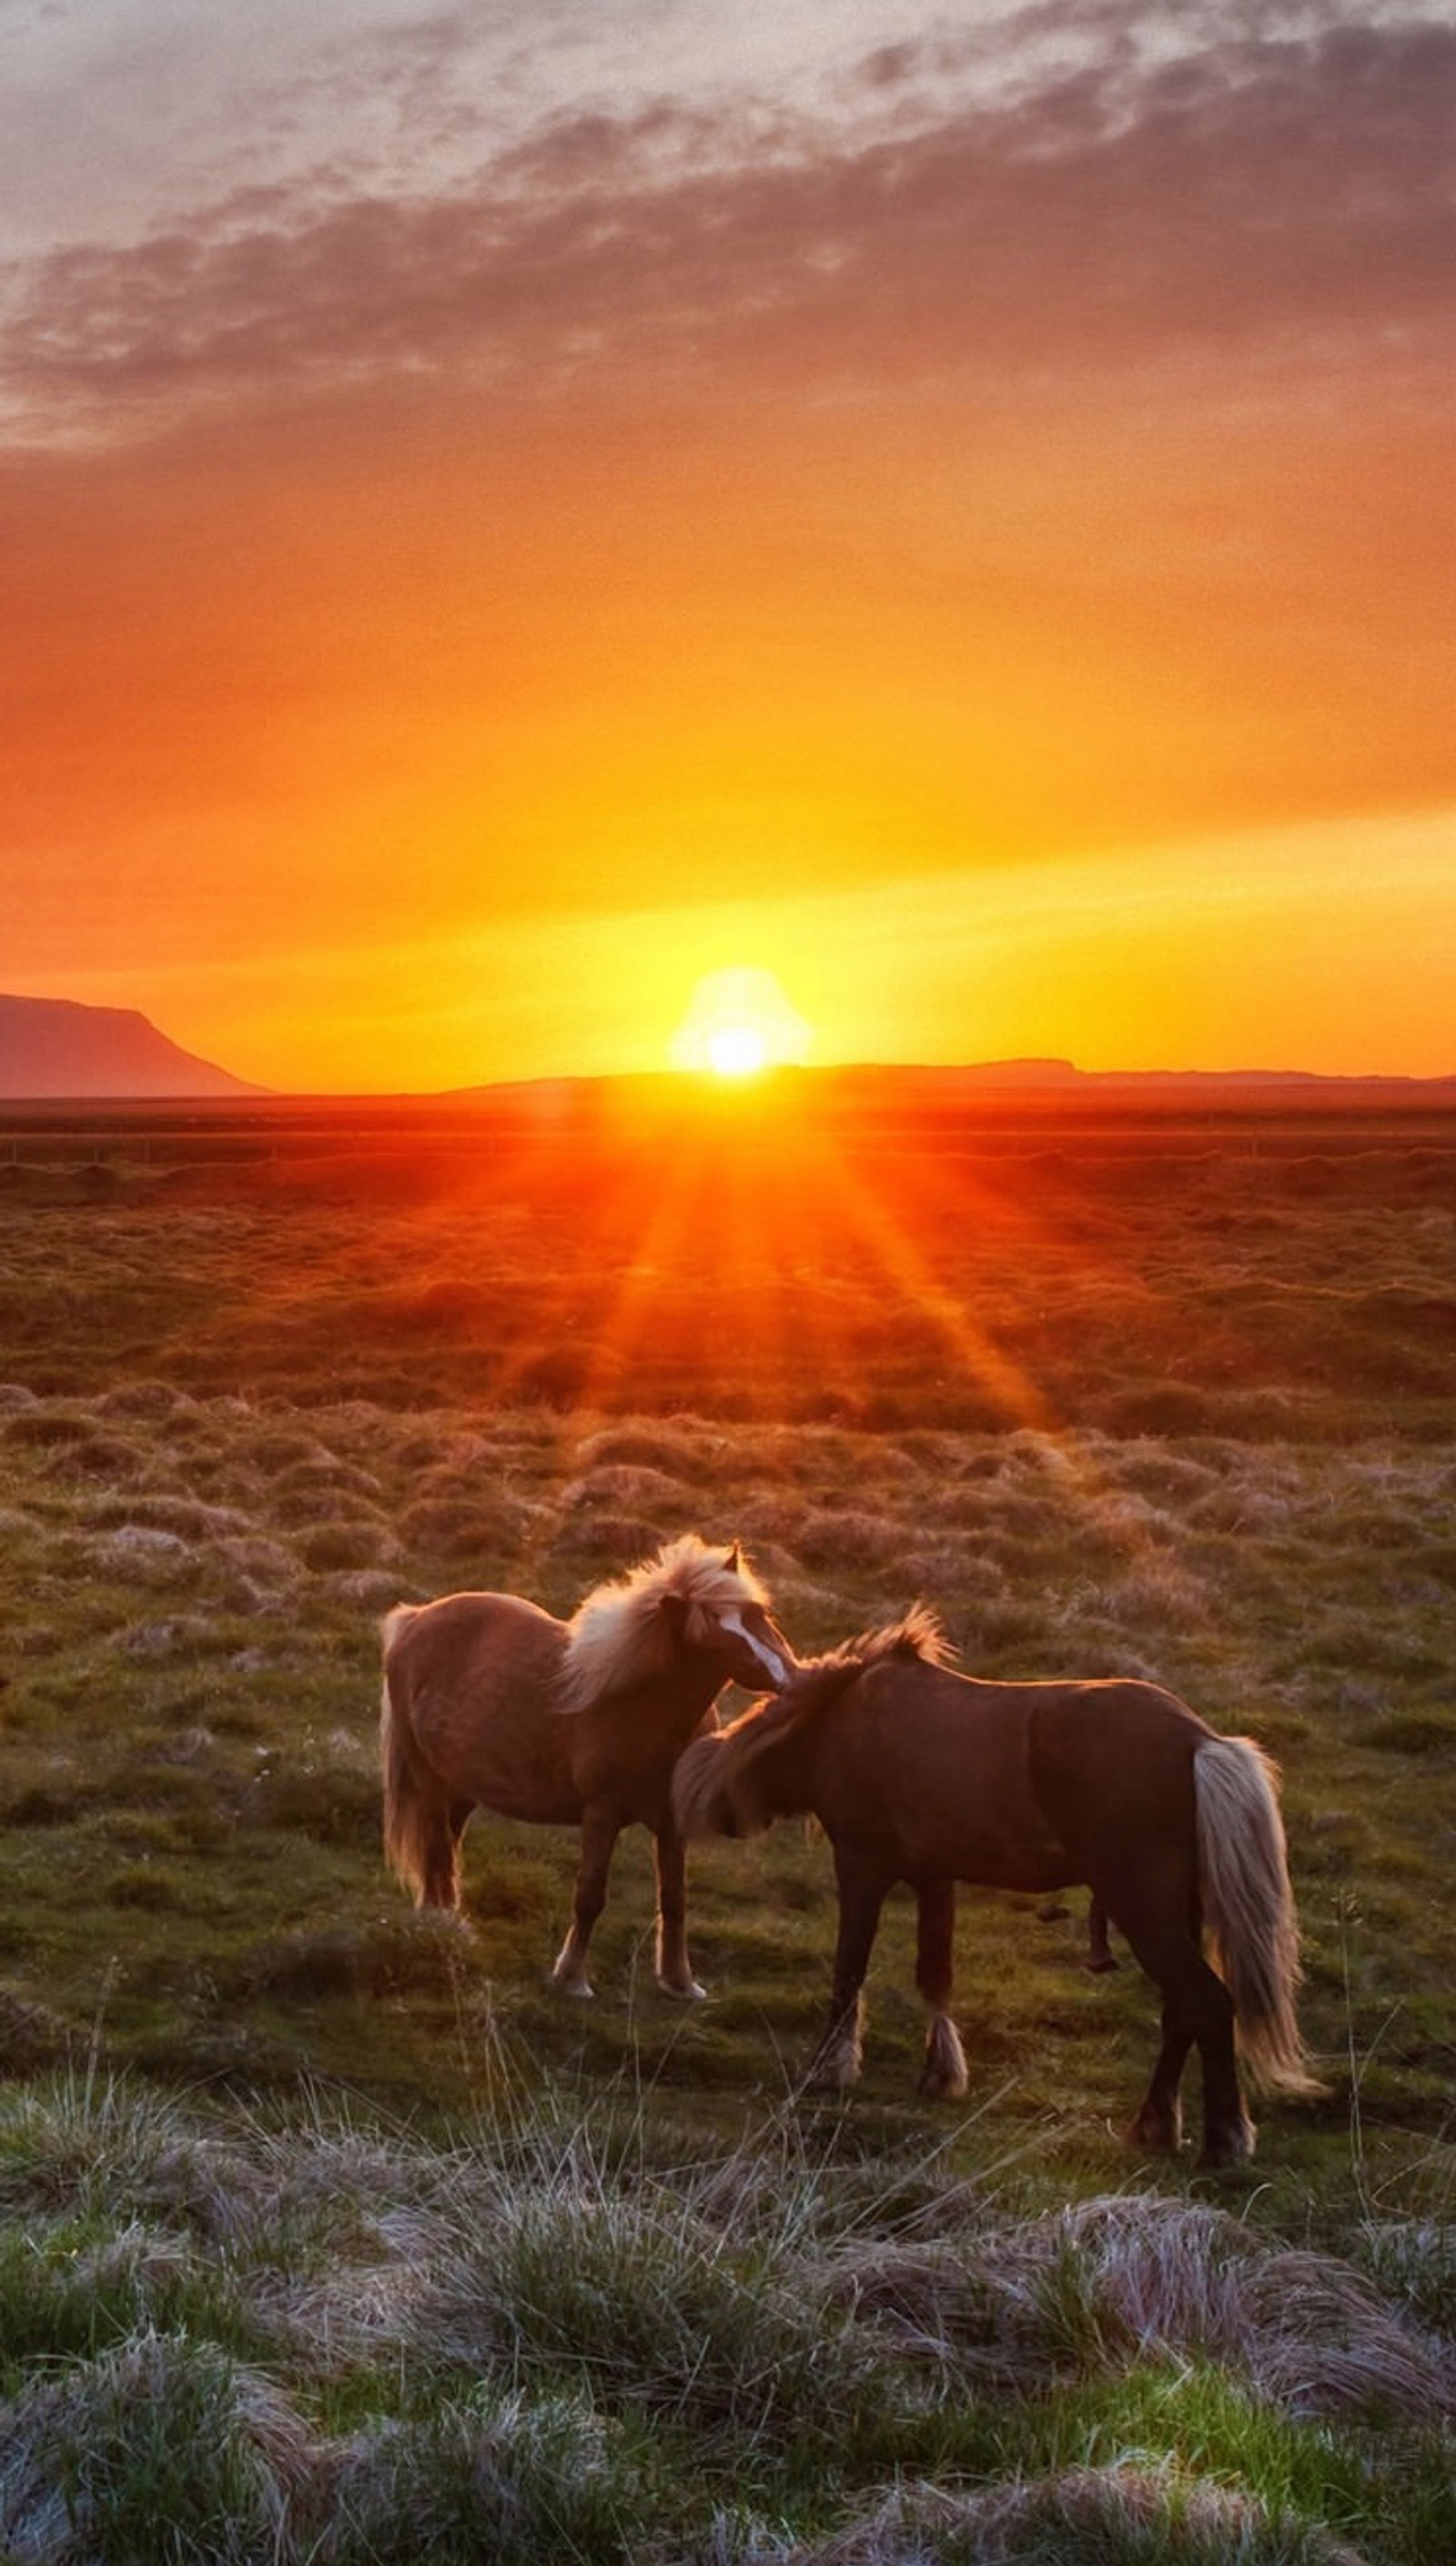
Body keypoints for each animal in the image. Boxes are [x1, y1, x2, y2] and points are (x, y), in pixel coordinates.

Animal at [381, 1518, 789, 2001]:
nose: (787, 1677)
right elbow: (590, 1896)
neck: (642, 1704)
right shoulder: (601, 1814)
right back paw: (447, 1931)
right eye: (713, 1640)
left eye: (757, 1614)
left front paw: (680, 1983)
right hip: (428, 1778)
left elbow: (674, 1899)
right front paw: (572, 1979)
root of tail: (414, 1619)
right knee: (438, 1852)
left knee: (442, 1851)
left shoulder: (672, 1822)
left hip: (460, 1787)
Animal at [676, 1611, 1322, 2155]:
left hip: (1144, 1909)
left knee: (1207, 2004)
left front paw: (829, 2069)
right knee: (1181, 2011)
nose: (720, 1815)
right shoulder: (935, 1877)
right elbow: (935, 1977)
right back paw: (1155, 2125)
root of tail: (1199, 1741)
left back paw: (1225, 2140)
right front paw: (941, 2072)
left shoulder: (863, 1866)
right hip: (1176, 1913)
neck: (843, 1722)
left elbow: (849, 1972)